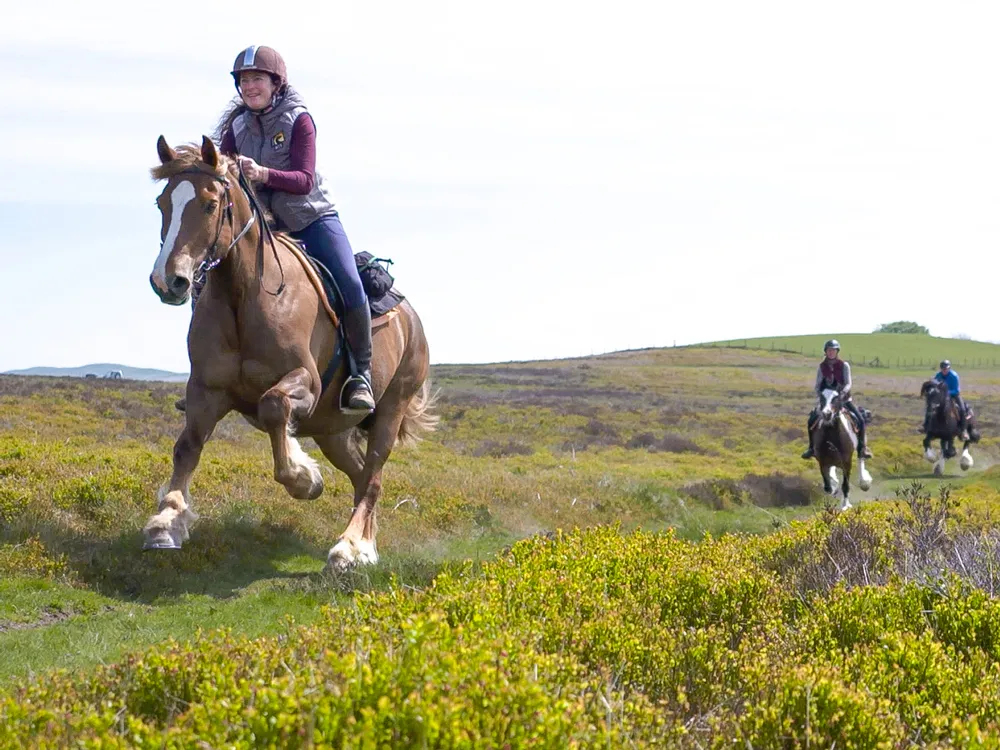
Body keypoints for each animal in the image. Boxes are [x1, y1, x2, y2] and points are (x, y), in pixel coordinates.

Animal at [144, 135, 436, 570]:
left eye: (210, 203)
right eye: (163, 203)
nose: (168, 281)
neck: (244, 295)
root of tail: (411, 320)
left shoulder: (304, 383)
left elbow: (274, 406)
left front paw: (304, 479)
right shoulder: (206, 391)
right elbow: (187, 447)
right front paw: (166, 521)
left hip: (389, 411)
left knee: (373, 477)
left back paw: (347, 548)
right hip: (334, 430)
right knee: (361, 476)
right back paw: (365, 548)